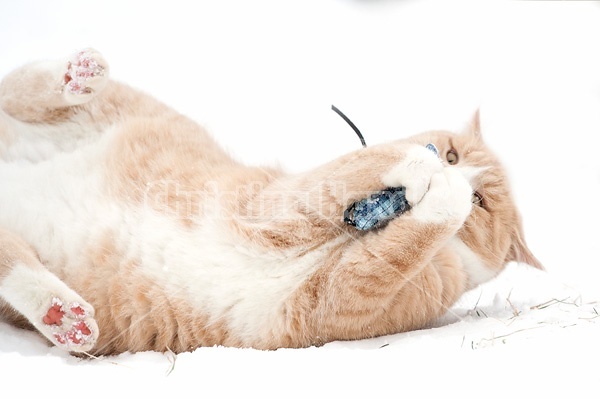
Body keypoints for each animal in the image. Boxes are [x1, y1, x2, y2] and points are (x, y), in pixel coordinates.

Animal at [0, 50, 544, 356]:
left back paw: (64, 317)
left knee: (13, 263)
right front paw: (420, 164)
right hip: (91, 109)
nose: (454, 171)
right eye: (453, 152)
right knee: (22, 89)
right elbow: (347, 171)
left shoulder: (341, 298)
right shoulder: (271, 202)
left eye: (482, 202)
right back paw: (78, 73)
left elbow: (394, 250)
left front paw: (442, 195)